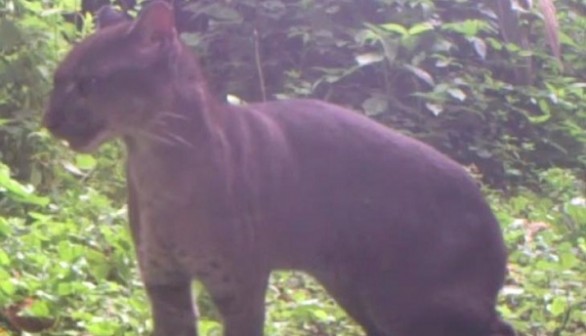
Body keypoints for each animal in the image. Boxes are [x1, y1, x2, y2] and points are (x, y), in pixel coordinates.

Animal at [43, 1, 512, 334]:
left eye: (89, 83)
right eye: (56, 79)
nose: (49, 120)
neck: (158, 161)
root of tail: (485, 206)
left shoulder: (239, 286)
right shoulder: (165, 282)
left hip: (414, 302)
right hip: (366, 297)